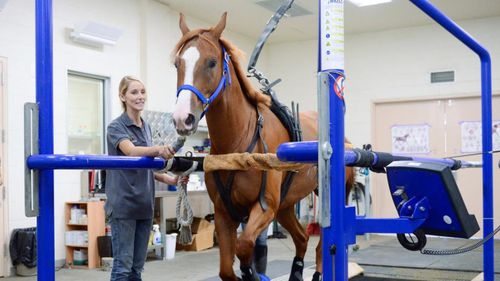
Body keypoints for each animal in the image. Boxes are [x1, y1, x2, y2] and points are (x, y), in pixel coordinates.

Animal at [172, 12, 356, 278]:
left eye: (211, 62)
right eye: (177, 64)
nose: (182, 118)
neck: (236, 143)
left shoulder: (265, 208)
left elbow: (244, 245)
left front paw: (251, 272)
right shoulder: (224, 213)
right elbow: (227, 269)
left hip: (328, 197)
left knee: (323, 244)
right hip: (286, 205)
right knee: (301, 238)